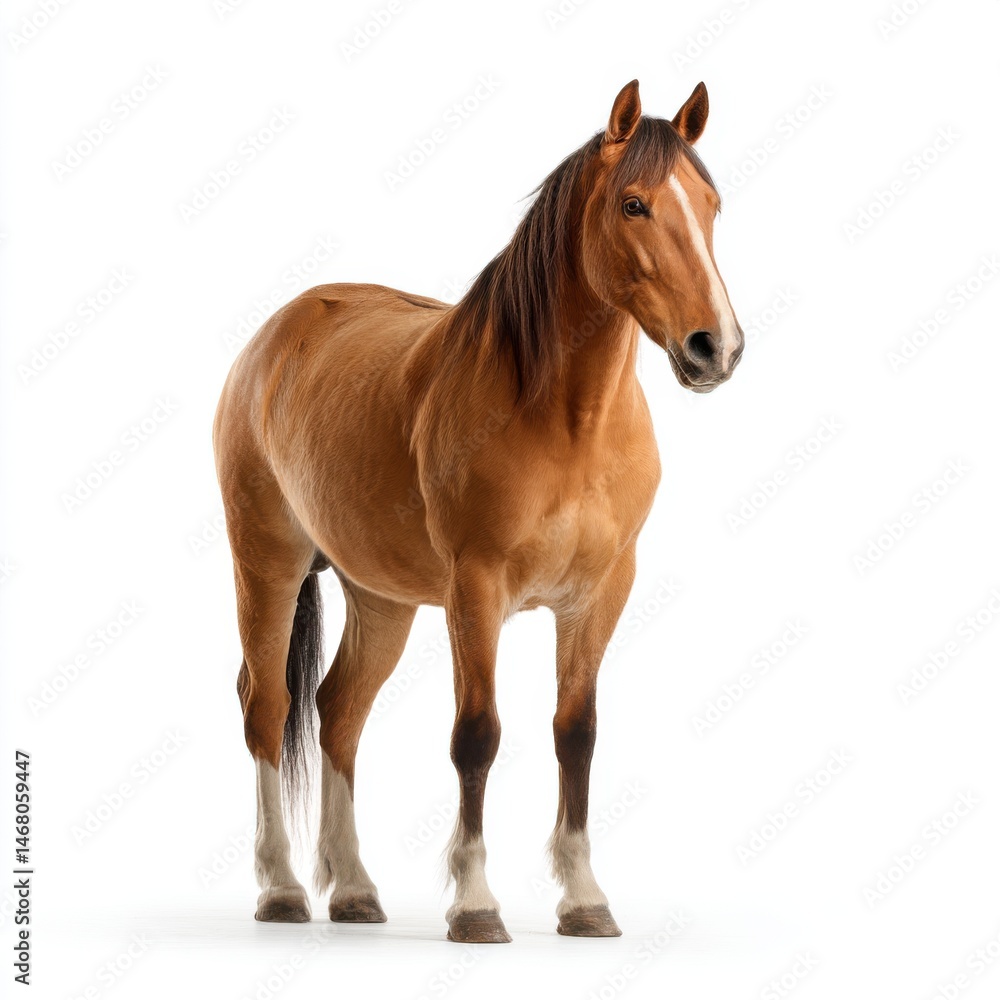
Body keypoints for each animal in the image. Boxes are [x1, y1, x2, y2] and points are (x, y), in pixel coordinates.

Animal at [213, 78, 743, 943]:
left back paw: (353, 890)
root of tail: (277, 335)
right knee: (268, 705)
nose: (715, 349)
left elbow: (576, 734)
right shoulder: (477, 588)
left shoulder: (600, 594)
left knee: (338, 711)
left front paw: (585, 900)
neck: (569, 421)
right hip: (267, 565)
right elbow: (477, 737)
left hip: (381, 599)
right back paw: (283, 888)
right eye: (634, 204)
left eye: (710, 205)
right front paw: (474, 904)